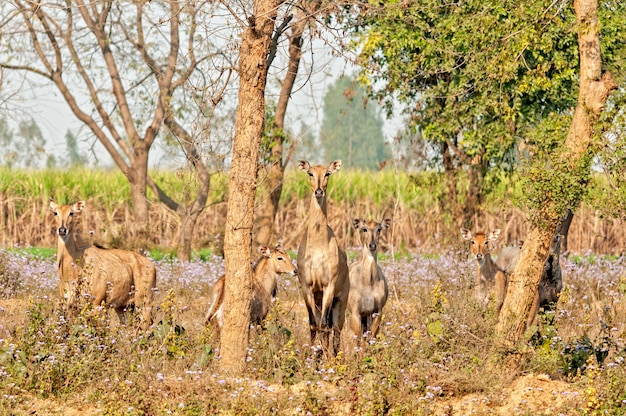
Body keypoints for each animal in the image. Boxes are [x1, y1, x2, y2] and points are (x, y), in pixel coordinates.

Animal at [49, 198, 155, 328]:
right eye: (55, 213)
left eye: (71, 213)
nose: (62, 230)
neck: (71, 271)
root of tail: (153, 266)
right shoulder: (69, 304)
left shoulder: (97, 302)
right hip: (123, 307)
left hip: (145, 302)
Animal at [294, 161, 348, 356]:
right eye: (310, 173)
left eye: (327, 174)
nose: (318, 191)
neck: (318, 245)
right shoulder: (307, 287)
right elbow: (313, 326)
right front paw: (312, 358)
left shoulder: (329, 286)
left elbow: (324, 326)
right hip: (318, 299)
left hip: (341, 301)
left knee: (336, 329)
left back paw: (334, 356)